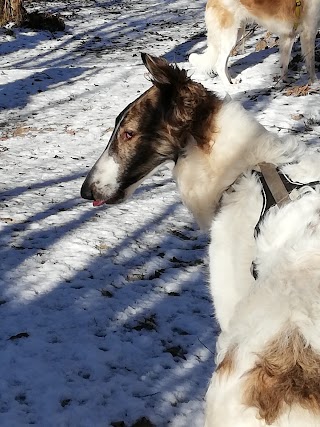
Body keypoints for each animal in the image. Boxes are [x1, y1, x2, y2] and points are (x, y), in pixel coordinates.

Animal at [189, 0, 318, 85]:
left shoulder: (289, 36)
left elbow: (285, 63)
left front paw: (285, 80)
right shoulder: (308, 33)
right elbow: (311, 63)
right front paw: (314, 83)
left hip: (235, 34)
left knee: (223, 63)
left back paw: (232, 81)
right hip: (229, 37)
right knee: (219, 65)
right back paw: (230, 89)